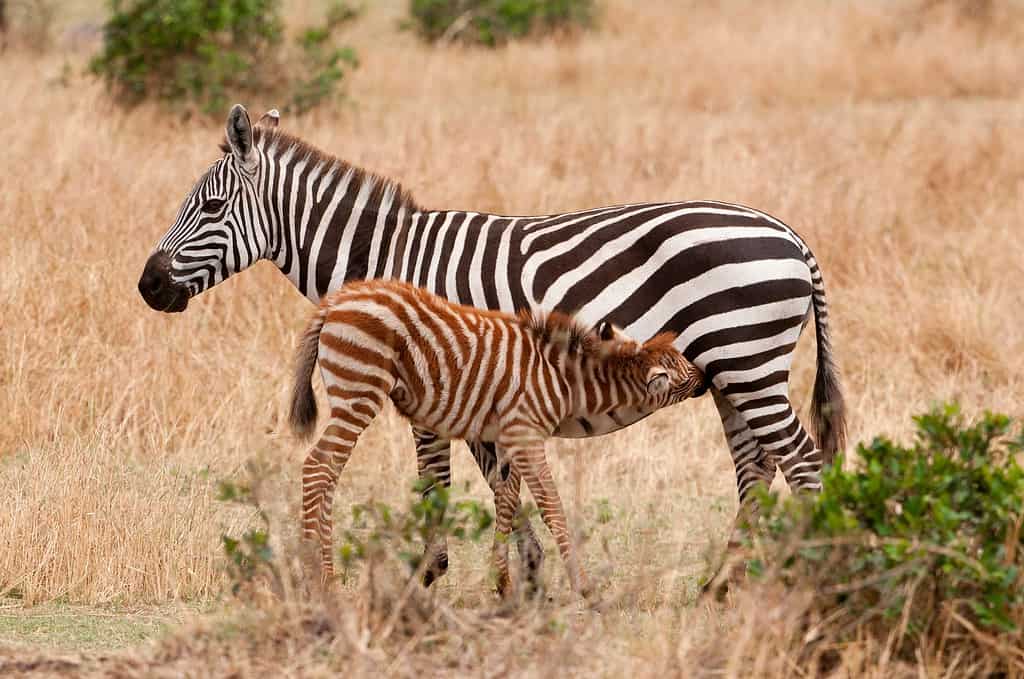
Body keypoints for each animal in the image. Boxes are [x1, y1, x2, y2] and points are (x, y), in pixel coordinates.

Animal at [288, 278, 704, 598]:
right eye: (684, 370)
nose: (706, 377)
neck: (567, 382)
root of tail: (335, 301)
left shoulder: (510, 438)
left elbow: (506, 500)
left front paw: (502, 582)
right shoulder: (526, 437)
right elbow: (552, 507)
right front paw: (584, 587)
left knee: (327, 472)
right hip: (359, 392)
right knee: (319, 467)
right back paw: (318, 578)